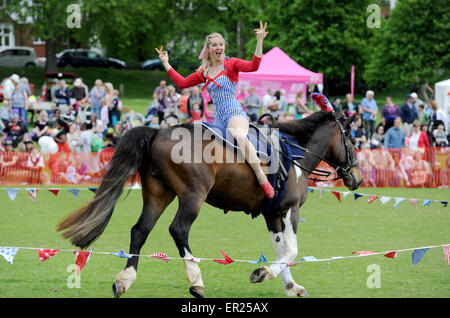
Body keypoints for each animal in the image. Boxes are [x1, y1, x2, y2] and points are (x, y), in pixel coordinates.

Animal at [56, 110, 362, 298]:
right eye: (353, 139)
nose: (357, 177)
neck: (295, 152)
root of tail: (158, 132)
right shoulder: (290, 210)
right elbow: (292, 250)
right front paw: (263, 272)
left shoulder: (273, 214)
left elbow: (282, 249)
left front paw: (290, 285)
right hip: (193, 196)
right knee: (178, 230)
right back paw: (196, 281)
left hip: (158, 195)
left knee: (139, 231)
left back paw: (124, 279)